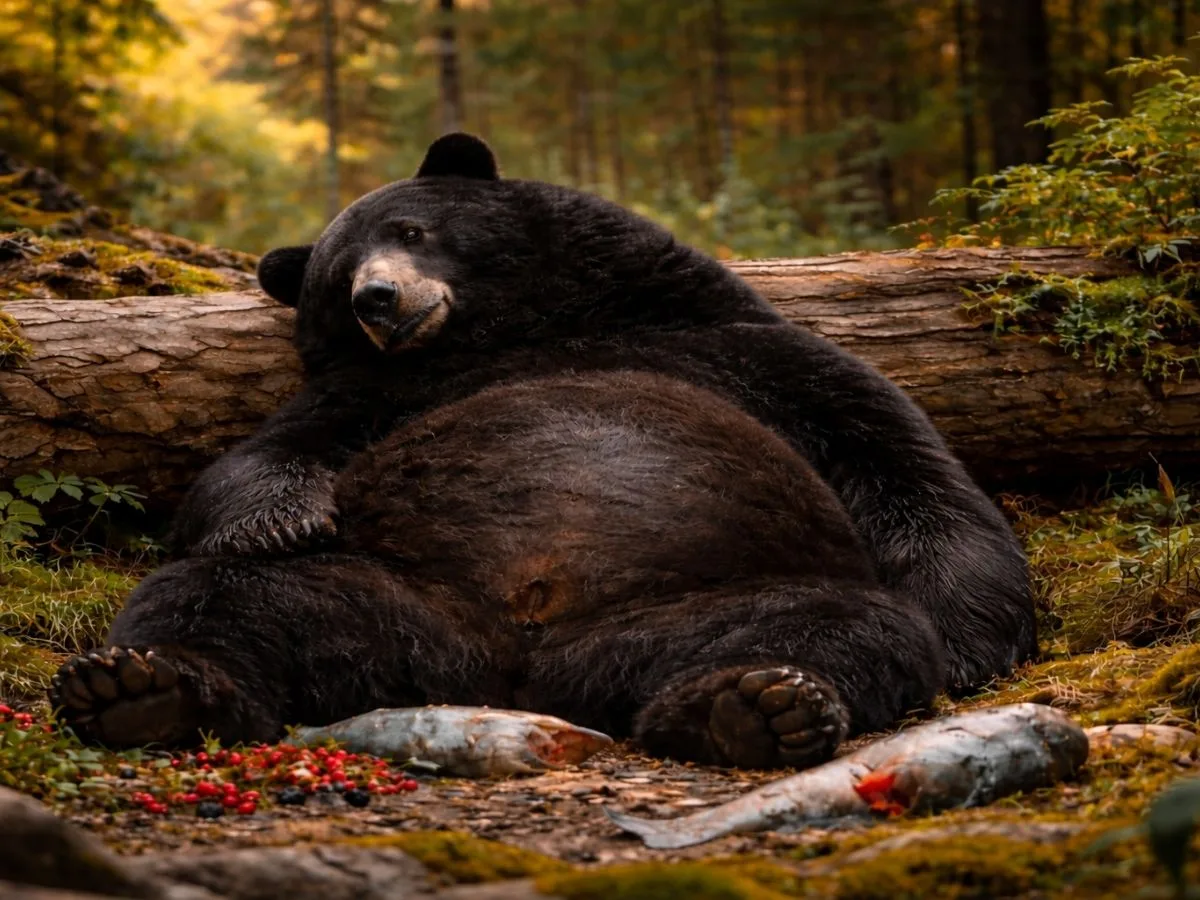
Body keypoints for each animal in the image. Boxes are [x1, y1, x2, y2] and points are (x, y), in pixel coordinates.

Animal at [49, 132, 1033, 766]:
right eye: (335, 276)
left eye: (410, 230)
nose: (378, 299)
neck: (524, 325)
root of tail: (516, 667)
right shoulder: (370, 394)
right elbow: (248, 465)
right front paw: (282, 518)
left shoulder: (748, 351)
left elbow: (906, 466)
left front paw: (971, 642)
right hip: (386, 594)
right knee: (215, 599)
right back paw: (145, 693)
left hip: (708, 597)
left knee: (846, 626)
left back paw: (754, 704)